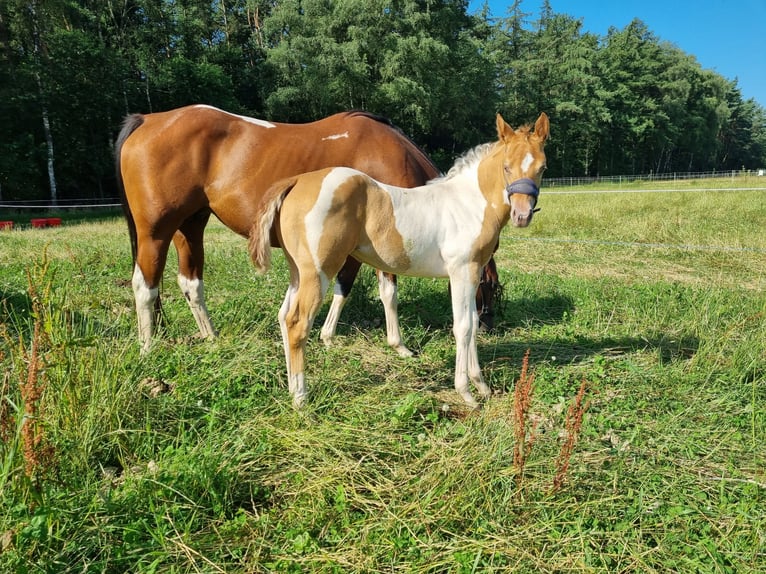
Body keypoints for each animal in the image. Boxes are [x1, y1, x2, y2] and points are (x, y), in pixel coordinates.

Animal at [112, 104, 498, 356]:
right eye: (491, 287)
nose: (488, 325)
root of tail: (148, 120)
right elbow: (387, 292)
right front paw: (399, 345)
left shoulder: (355, 248)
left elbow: (344, 287)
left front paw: (326, 335)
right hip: (155, 231)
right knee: (144, 286)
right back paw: (148, 348)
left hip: (190, 226)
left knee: (190, 283)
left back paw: (210, 337)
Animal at [252, 113, 552, 410]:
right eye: (506, 167)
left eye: (542, 167)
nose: (522, 215)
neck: (467, 205)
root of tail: (296, 181)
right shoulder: (461, 271)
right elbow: (463, 327)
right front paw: (467, 394)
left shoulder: (472, 272)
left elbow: (471, 322)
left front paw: (482, 387)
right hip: (318, 272)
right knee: (297, 323)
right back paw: (301, 398)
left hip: (298, 272)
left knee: (284, 317)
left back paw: (291, 388)